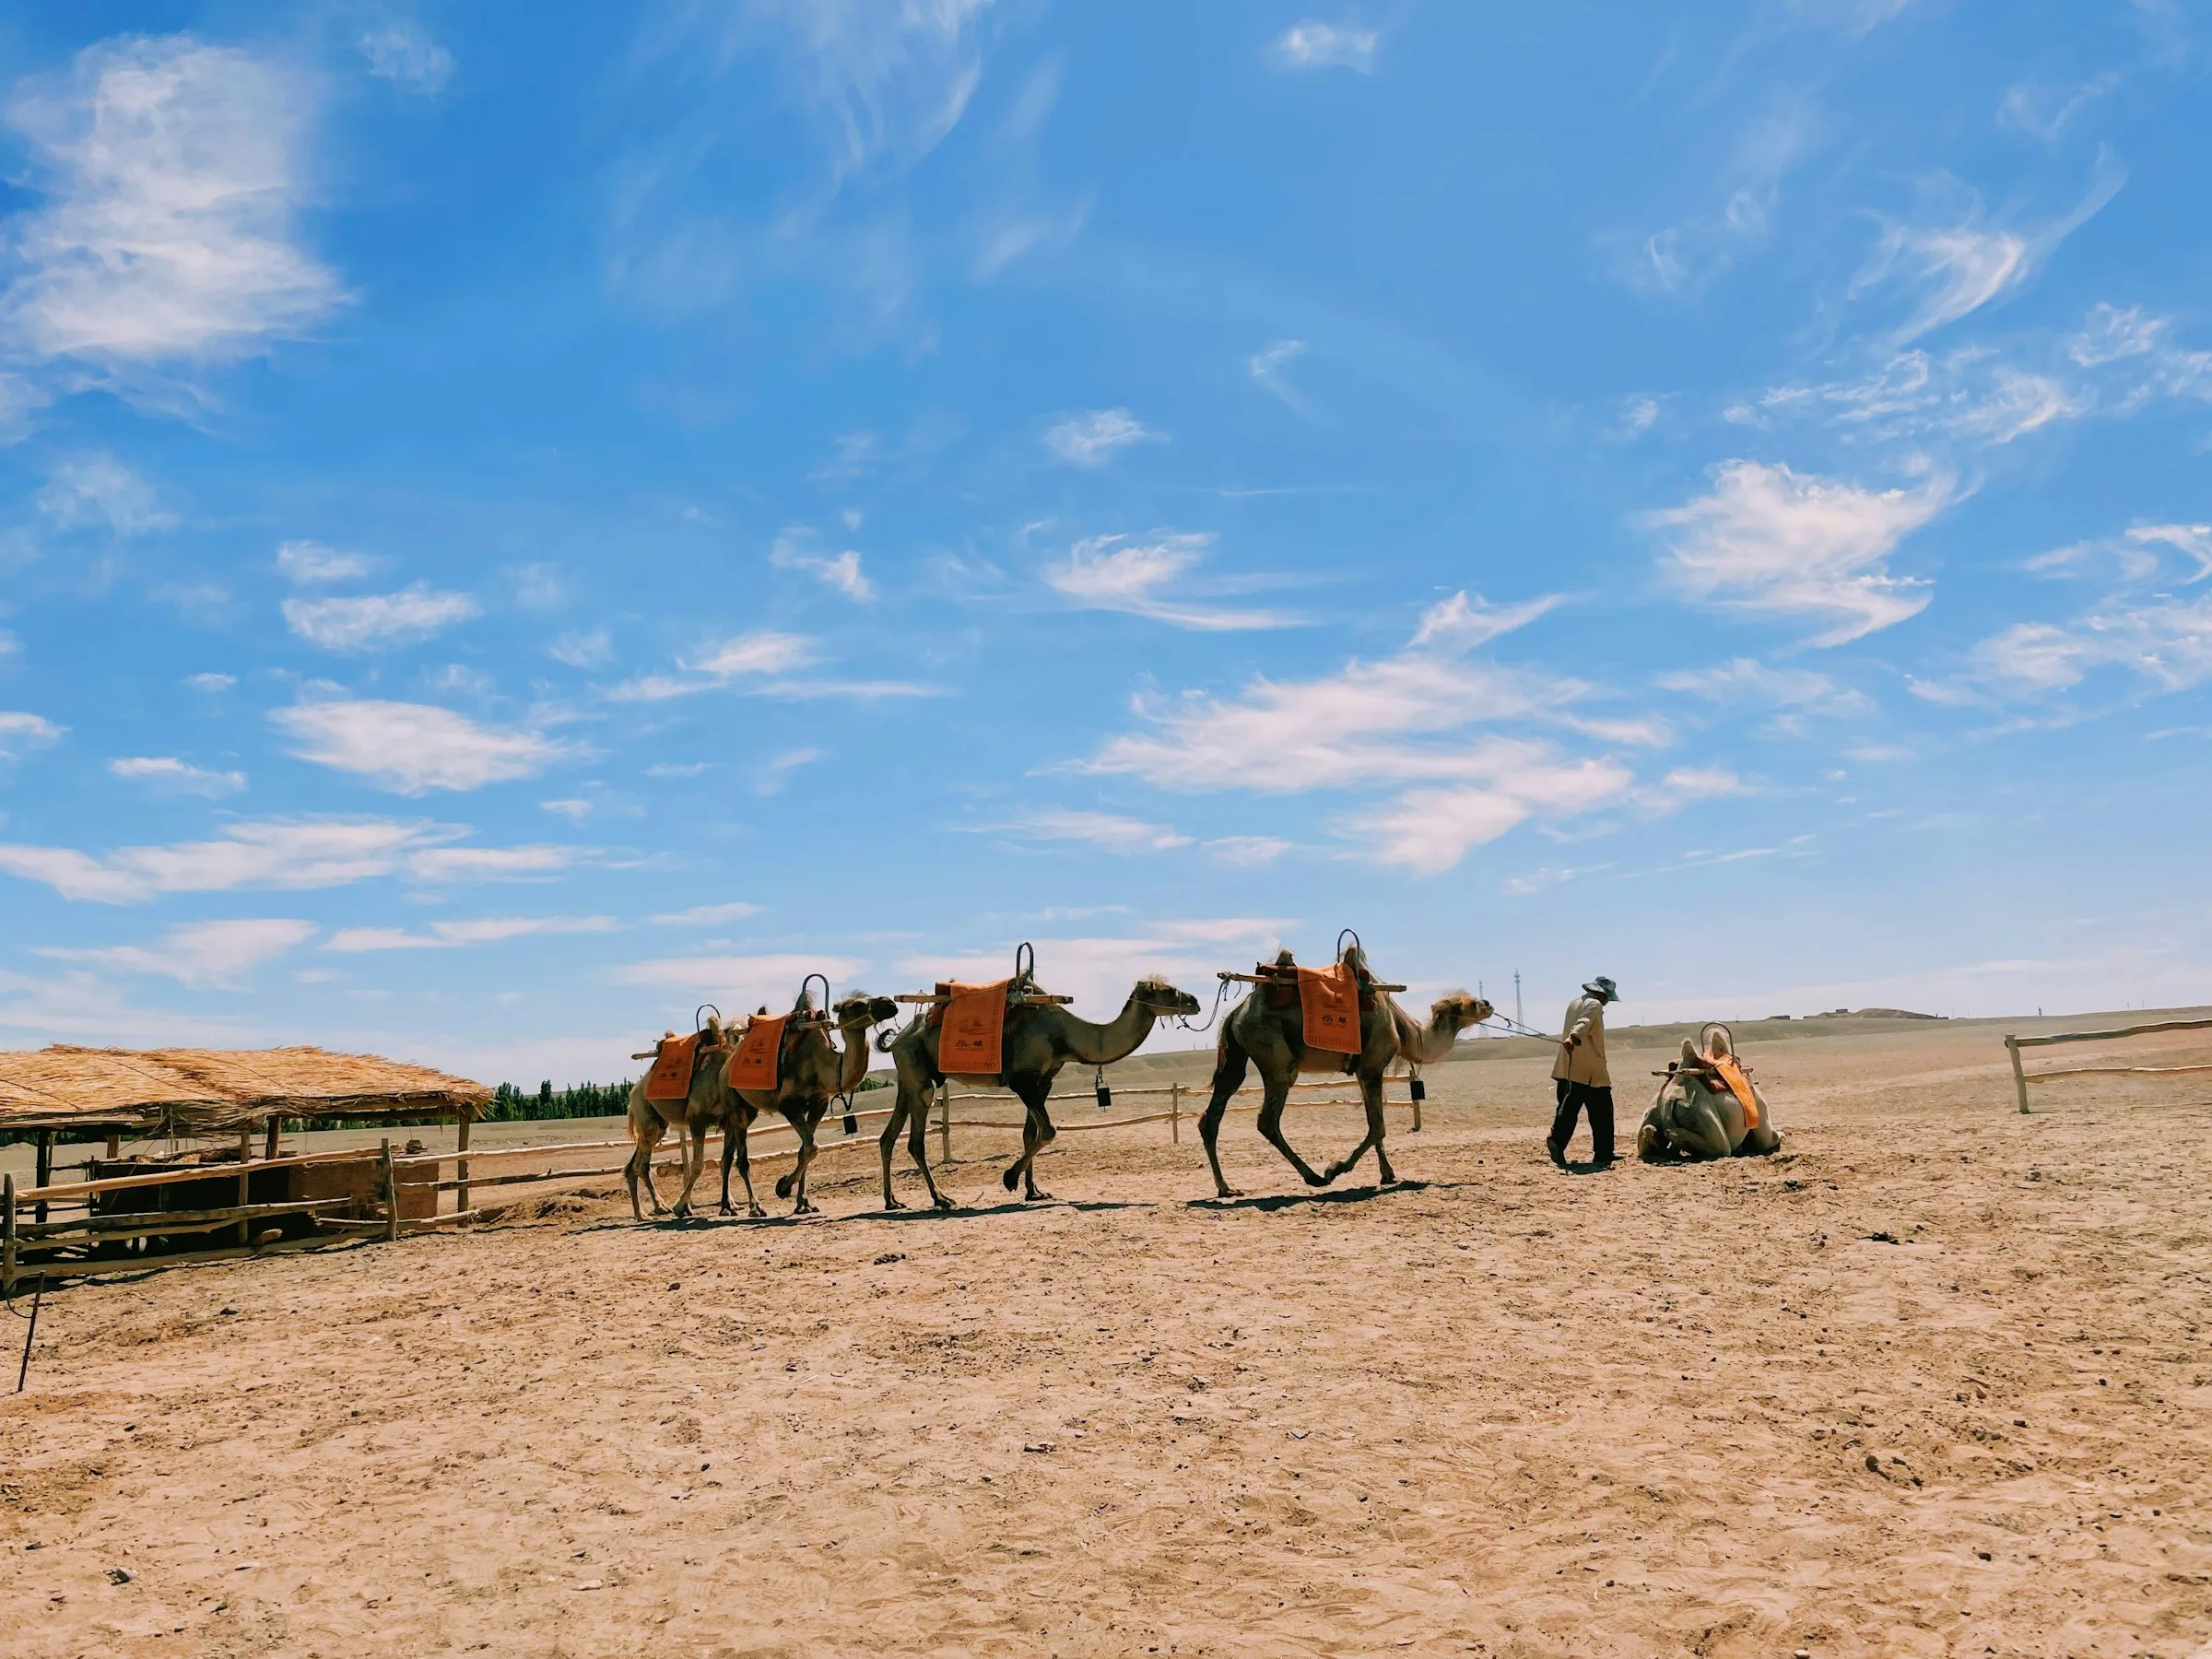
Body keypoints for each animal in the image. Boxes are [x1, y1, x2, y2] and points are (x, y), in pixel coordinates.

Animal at [877, 974, 1203, 1208]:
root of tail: (898, 1038)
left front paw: (1033, 1191)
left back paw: (892, 1201)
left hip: (908, 1078)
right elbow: (1047, 1131)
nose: (1195, 1001)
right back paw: (941, 1198)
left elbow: (1029, 1133)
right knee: (915, 1141)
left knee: (888, 1137)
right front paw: (1009, 1179)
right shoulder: (1023, 1081)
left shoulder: (1044, 1081)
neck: (1064, 1036)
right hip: (919, 1075)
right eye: (1168, 991)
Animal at [1197, 945, 1493, 1198]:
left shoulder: (1364, 1072)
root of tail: (1236, 1013)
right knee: (1267, 1120)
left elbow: (1375, 1124)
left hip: (1237, 1056)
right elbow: (1378, 1127)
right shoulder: (1373, 1066)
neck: (1402, 1029)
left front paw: (1387, 1174)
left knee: (1212, 1115)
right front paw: (1335, 1168)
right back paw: (1314, 1177)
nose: (1488, 1003)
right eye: (1469, 1004)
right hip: (1276, 1060)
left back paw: (1225, 1188)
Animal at [1636, 1025, 1782, 1162]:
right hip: (1699, 1113)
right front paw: (1781, 1135)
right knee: (1721, 1147)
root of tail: (1670, 1099)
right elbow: (1770, 1139)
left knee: (1648, 1130)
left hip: (1654, 1109)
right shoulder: (1761, 1112)